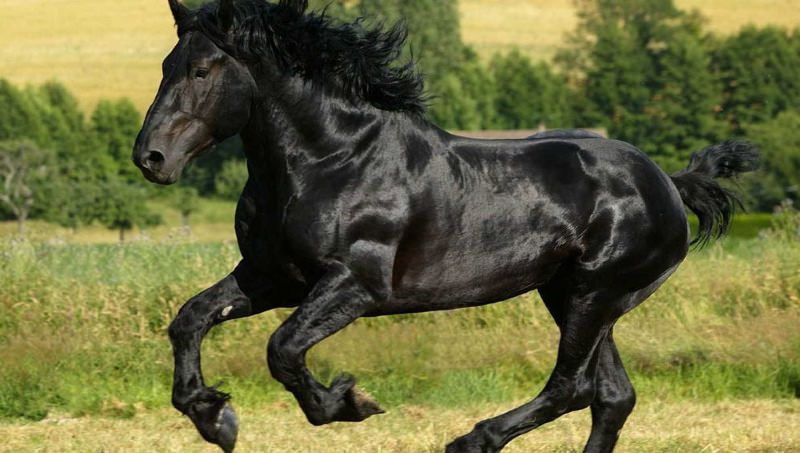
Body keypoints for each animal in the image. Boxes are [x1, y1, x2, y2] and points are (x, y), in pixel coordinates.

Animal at [132, 1, 758, 452]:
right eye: (163, 66)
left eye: (201, 69)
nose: (151, 158)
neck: (332, 159)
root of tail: (669, 185)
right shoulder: (272, 277)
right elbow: (190, 319)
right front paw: (214, 417)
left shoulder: (355, 286)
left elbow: (282, 348)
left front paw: (349, 404)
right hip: (572, 294)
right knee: (611, 396)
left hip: (594, 293)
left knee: (573, 387)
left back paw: (471, 440)